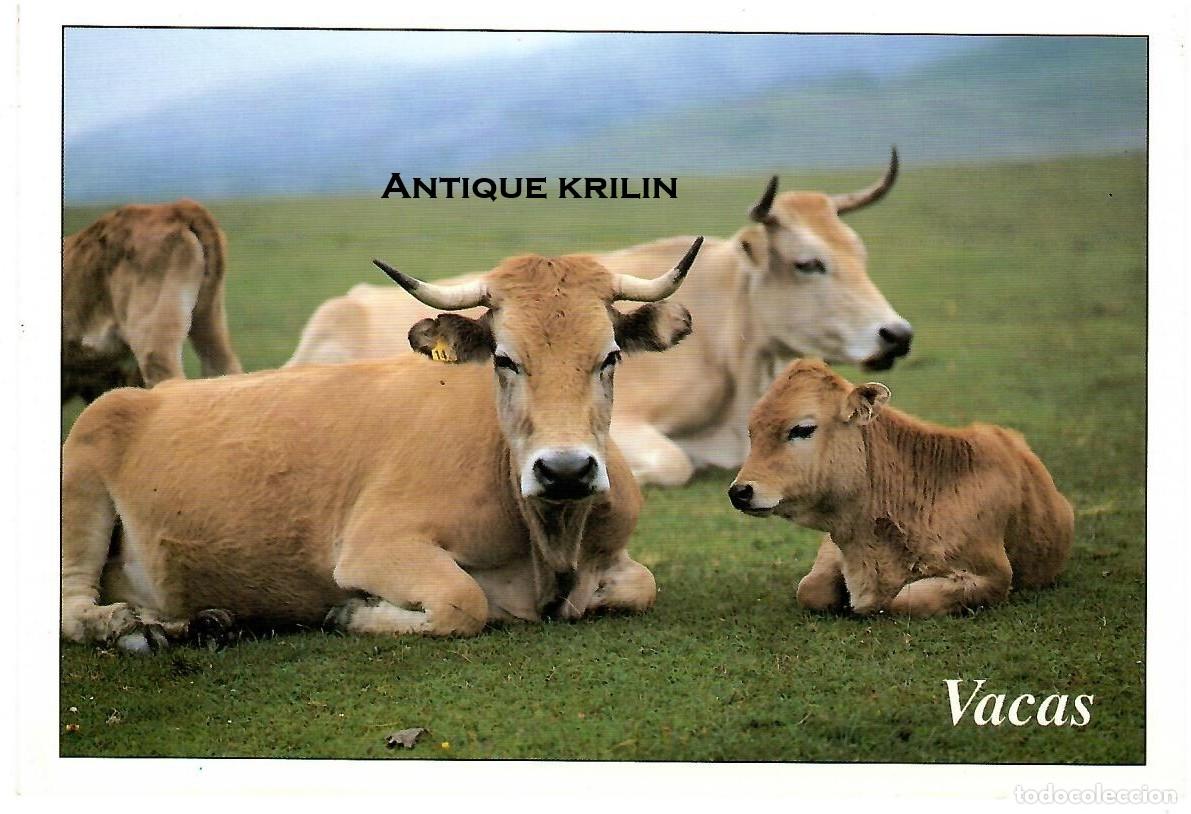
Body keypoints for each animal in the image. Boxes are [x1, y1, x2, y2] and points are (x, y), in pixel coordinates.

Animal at [60, 239, 704, 649]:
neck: (551, 545)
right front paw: (352, 613)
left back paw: (199, 622)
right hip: (82, 482)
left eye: (610, 356)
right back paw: (131, 628)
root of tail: (139, 397)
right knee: (73, 606)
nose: (566, 471)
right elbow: (462, 601)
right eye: (504, 358)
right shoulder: (375, 547)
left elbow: (643, 585)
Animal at [727, 359, 1074, 617]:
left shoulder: (993, 577)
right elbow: (810, 589)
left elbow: (905, 600)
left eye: (802, 429)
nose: (739, 492)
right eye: (752, 432)